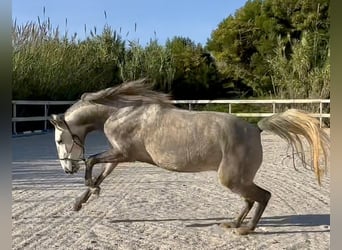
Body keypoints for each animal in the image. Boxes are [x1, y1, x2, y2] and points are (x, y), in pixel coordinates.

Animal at [49, 79, 330, 235]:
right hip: (238, 179)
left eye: (60, 140)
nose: (67, 169)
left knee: (263, 196)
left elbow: (91, 161)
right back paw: (233, 223)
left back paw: (246, 229)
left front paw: (89, 190)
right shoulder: (119, 155)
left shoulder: (123, 153)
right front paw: (80, 201)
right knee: (251, 200)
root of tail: (256, 129)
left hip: (232, 179)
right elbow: (100, 173)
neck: (121, 112)